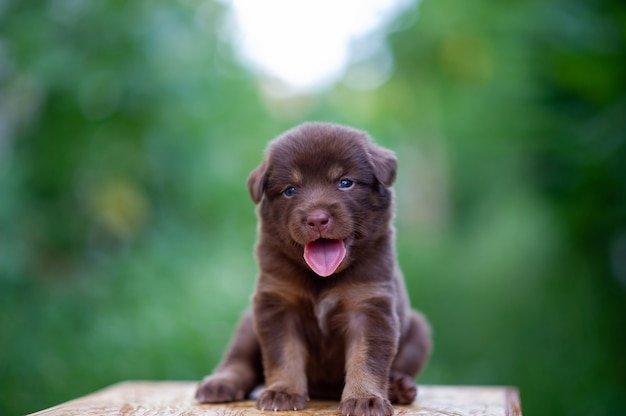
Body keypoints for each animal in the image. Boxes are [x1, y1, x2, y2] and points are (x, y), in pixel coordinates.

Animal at [195, 122, 428, 414]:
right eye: (290, 190)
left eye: (345, 182)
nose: (317, 219)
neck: (322, 278)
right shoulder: (277, 303)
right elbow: (283, 353)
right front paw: (282, 392)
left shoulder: (370, 305)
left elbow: (367, 358)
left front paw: (365, 399)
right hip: (249, 323)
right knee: (238, 359)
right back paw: (220, 383)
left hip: (419, 329)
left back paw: (399, 386)